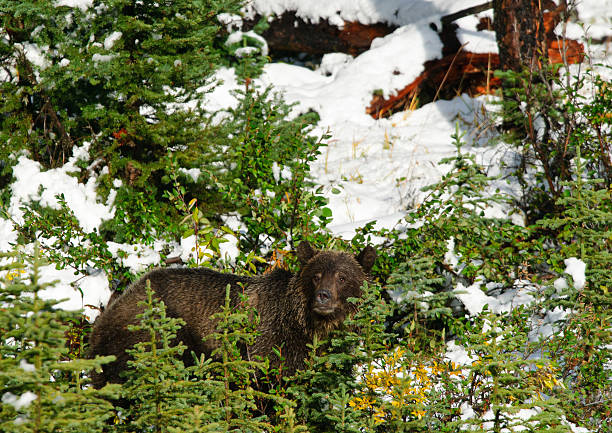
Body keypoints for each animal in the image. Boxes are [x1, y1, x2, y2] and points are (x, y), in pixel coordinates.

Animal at [88, 241, 376, 386]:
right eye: (315, 276)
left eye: (342, 276)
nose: (323, 297)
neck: (307, 327)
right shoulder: (269, 347)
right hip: (153, 335)